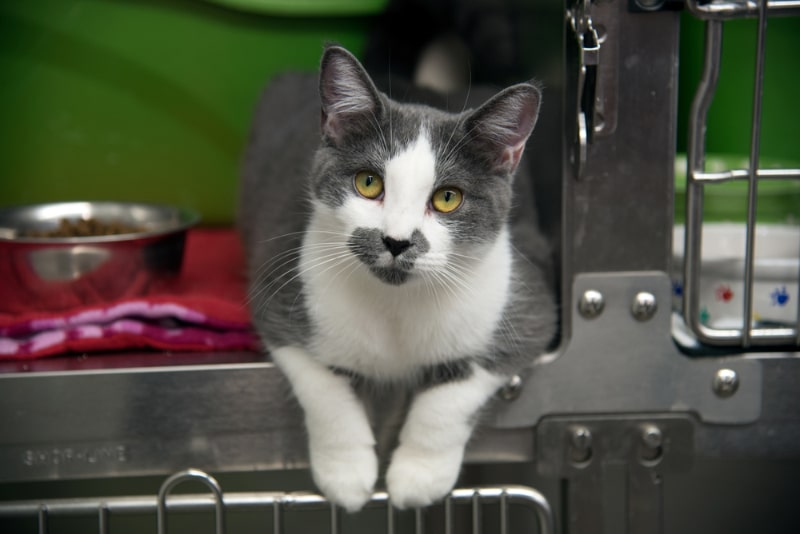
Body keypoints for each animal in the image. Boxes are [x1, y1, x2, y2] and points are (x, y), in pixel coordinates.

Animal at [239, 44, 556, 512]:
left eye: (448, 198)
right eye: (368, 183)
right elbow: (323, 385)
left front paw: (419, 476)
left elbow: (452, 395)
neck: (396, 305)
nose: (396, 241)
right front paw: (346, 473)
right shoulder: (281, 287)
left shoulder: (525, 302)